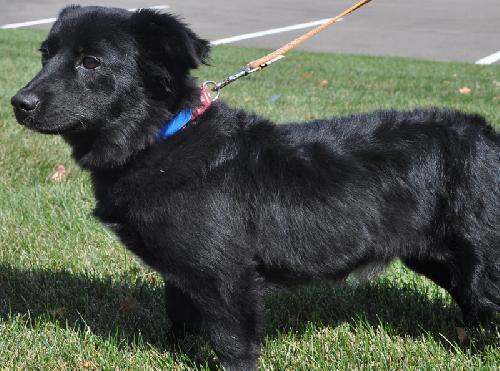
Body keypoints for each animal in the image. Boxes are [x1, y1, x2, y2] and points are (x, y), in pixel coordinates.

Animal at [9, 5, 498, 371]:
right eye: (45, 55)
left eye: (90, 62)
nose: (19, 103)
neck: (161, 138)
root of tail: (488, 135)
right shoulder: (181, 272)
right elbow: (179, 321)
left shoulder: (226, 276)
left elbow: (233, 344)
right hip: (440, 257)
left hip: (481, 257)